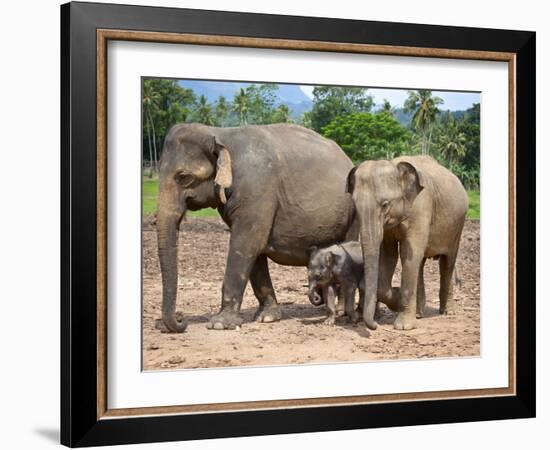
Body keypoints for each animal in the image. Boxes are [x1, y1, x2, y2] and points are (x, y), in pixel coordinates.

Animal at [157, 123, 360, 330]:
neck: (220, 133)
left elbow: (245, 245)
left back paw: (341, 312)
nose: (182, 320)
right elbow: (255, 251)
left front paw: (220, 324)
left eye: (183, 177)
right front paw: (267, 317)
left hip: (353, 215)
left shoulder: (257, 192)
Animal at [348, 155, 468, 330]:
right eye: (355, 206)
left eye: (385, 204)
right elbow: (389, 255)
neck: (395, 165)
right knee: (421, 263)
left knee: (447, 263)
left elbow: (408, 254)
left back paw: (447, 312)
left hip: (457, 227)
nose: (375, 325)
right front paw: (397, 298)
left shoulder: (421, 208)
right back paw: (419, 313)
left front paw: (403, 326)